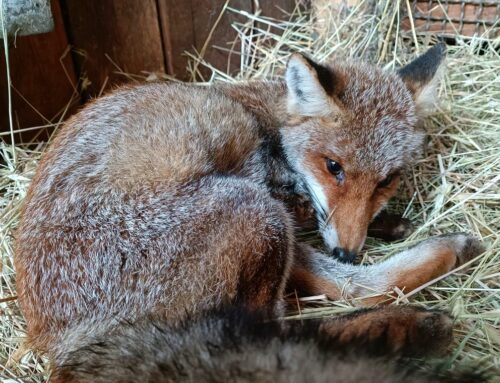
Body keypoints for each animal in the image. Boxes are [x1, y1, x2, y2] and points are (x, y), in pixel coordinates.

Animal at [14, 43, 484, 382]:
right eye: (334, 167)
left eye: (387, 180)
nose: (349, 252)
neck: (268, 123)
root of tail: (60, 342)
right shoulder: (268, 189)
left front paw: (385, 224)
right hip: (256, 213)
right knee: (279, 335)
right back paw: (414, 327)